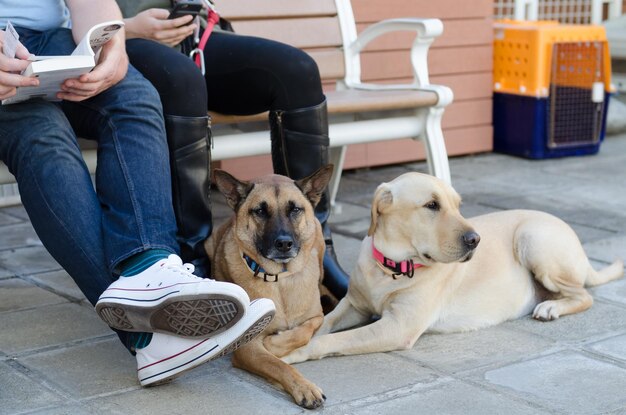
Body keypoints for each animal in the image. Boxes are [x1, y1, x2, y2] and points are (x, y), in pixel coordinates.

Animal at [204, 164, 332, 408]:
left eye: (295, 210)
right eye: (260, 211)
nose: (283, 243)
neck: (280, 280)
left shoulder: (317, 317)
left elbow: (304, 332)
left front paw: (275, 342)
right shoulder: (248, 347)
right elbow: (278, 365)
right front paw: (304, 387)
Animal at [284, 172, 624, 364]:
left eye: (458, 205)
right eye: (431, 205)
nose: (476, 239)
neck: (391, 268)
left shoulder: (398, 326)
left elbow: (332, 339)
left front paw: (297, 352)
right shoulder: (353, 305)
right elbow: (322, 324)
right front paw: (291, 338)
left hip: (533, 239)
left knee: (584, 295)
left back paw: (551, 307)